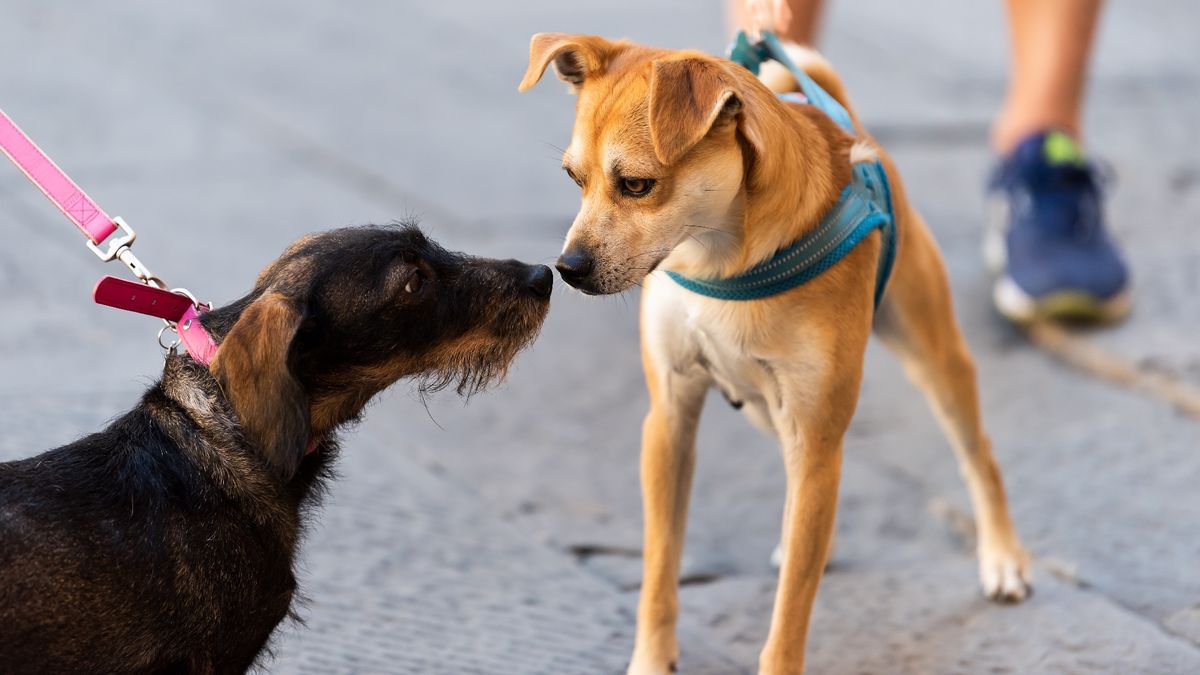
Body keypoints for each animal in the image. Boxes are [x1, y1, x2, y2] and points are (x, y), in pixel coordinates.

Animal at [518, 34, 1032, 667]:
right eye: (575, 179)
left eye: (637, 185)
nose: (567, 268)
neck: (718, 256)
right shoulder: (669, 420)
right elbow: (660, 567)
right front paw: (651, 659)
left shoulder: (815, 437)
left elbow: (790, 612)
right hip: (773, 411)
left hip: (929, 355)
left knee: (976, 454)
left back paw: (1002, 556)